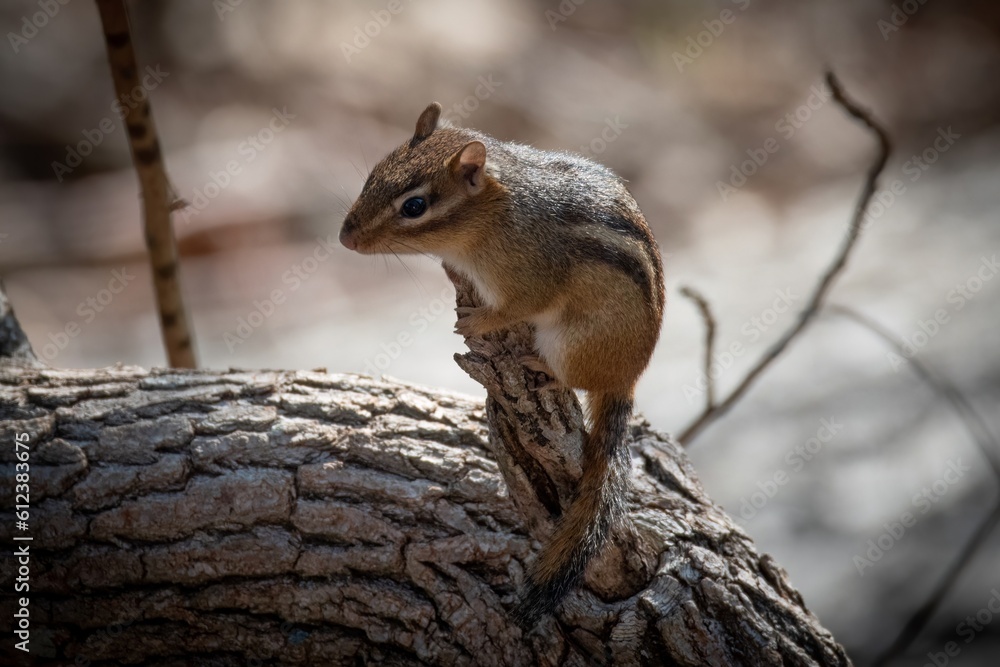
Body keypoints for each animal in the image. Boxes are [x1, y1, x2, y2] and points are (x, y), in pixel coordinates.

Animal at [339, 102, 665, 627]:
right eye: (372, 177)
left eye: (414, 206)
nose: (344, 237)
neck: (495, 213)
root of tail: (627, 379)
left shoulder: (531, 276)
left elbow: (519, 306)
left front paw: (479, 320)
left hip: (570, 342)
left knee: (568, 374)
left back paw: (541, 366)